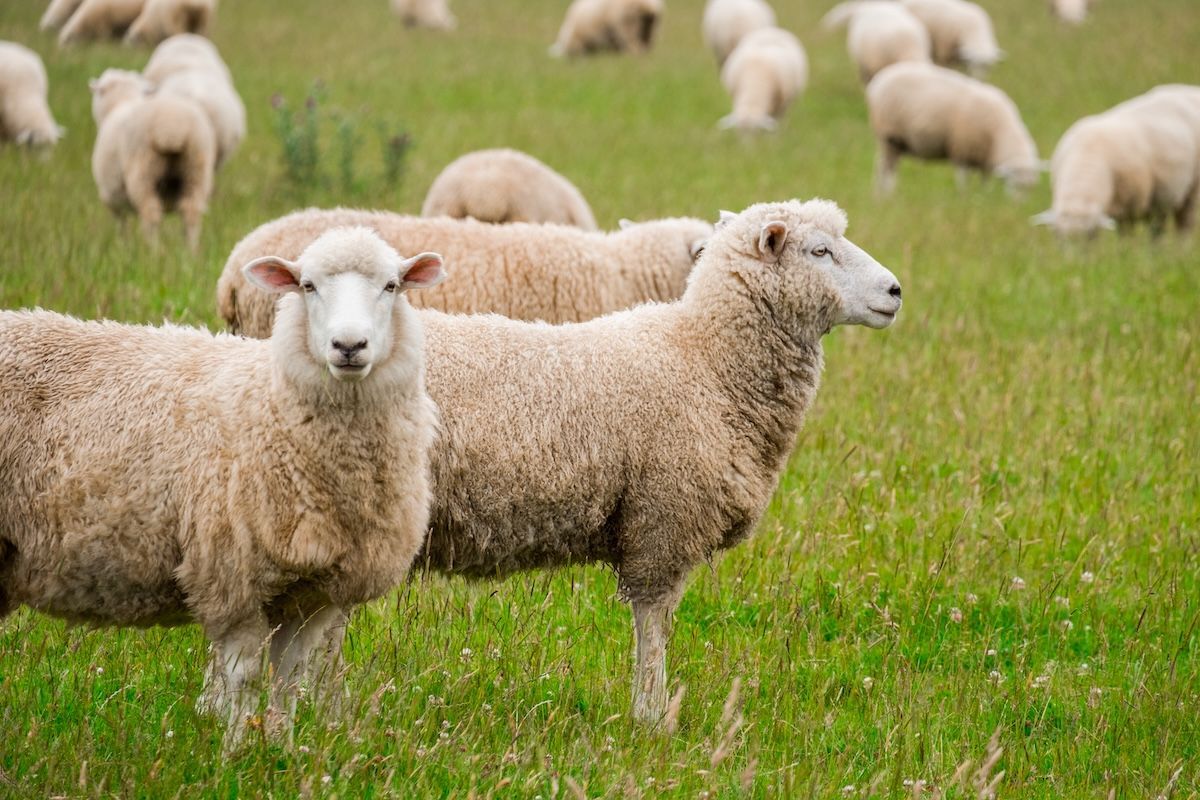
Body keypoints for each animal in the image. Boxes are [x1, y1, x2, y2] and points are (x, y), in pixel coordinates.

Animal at [0, 228, 445, 746]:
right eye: (307, 286)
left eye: (392, 285)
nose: (349, 345)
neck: (272, 403)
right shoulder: (232, 576)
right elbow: (244, 680)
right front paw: (236, 751)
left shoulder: (313, 595)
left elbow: (290, 682)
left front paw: (281, 749)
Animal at [89, 68, 216, 250]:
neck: (122, 100)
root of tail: (172, 127)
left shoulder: (111, 196)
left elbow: (121, 223)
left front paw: (122, 246)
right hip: (197, 170)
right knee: (191, 211)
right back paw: (190, 251)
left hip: (144, 170)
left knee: (151, 213)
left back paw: (151, 251)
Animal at [866, 61, 1041, 196]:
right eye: (1016, 184)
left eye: (1030, 189)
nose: (1017, 207)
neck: (1000, 132)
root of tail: (878, 82)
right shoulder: (961, 148)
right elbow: (963, 178)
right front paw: (964, 196)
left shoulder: (985, 159)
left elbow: (985, 181)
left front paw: (985, 197)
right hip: (890, 136)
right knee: (887, 170)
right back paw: (889, 195)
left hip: (894, 142)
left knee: (881, 166)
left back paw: (879, 196)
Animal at [1032, 85, 1200, 237]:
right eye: (1057, 236)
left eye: (1090, 234)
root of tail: (1191, 89)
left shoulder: (1130, 206)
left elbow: (1127, 234)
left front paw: (1126, 249)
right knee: (1158, 227)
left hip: (1192, 189)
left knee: (1184, 225)